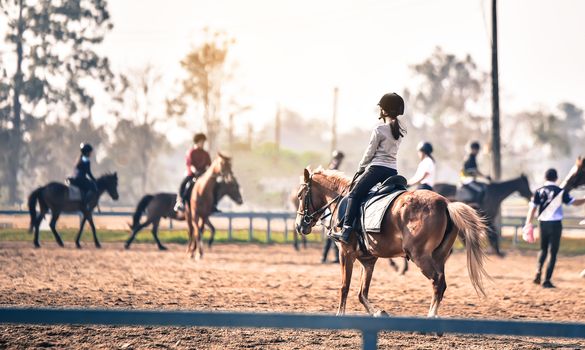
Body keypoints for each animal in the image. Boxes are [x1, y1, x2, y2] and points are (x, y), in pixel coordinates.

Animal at [294, 167, 486, 318]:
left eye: (301, 196)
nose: (299, 225)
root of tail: (445, 203)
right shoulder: (368, 260)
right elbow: (362, 293)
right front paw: (378, 312)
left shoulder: (345, 253)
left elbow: (344, 287)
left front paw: (340, 314)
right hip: (439, 257)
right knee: (441, 283)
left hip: (420, 257)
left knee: (437, 282)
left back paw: (431, 316)